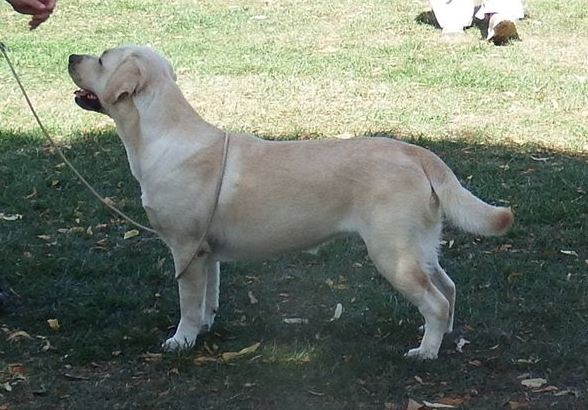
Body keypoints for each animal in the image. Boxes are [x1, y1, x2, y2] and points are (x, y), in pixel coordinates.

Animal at [66, 44, 512, 358]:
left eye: (101, 59)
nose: (70, 55)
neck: (159, 135)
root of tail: (417, 152)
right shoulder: (206, 252)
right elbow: (210, 294)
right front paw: (206, 326)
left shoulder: (186, 248)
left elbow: (188, 303)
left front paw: (181, 340)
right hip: (419, 246)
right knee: (448, 287)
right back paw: (444, 334)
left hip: (393, 252)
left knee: (434, 300)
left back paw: (425, 351)